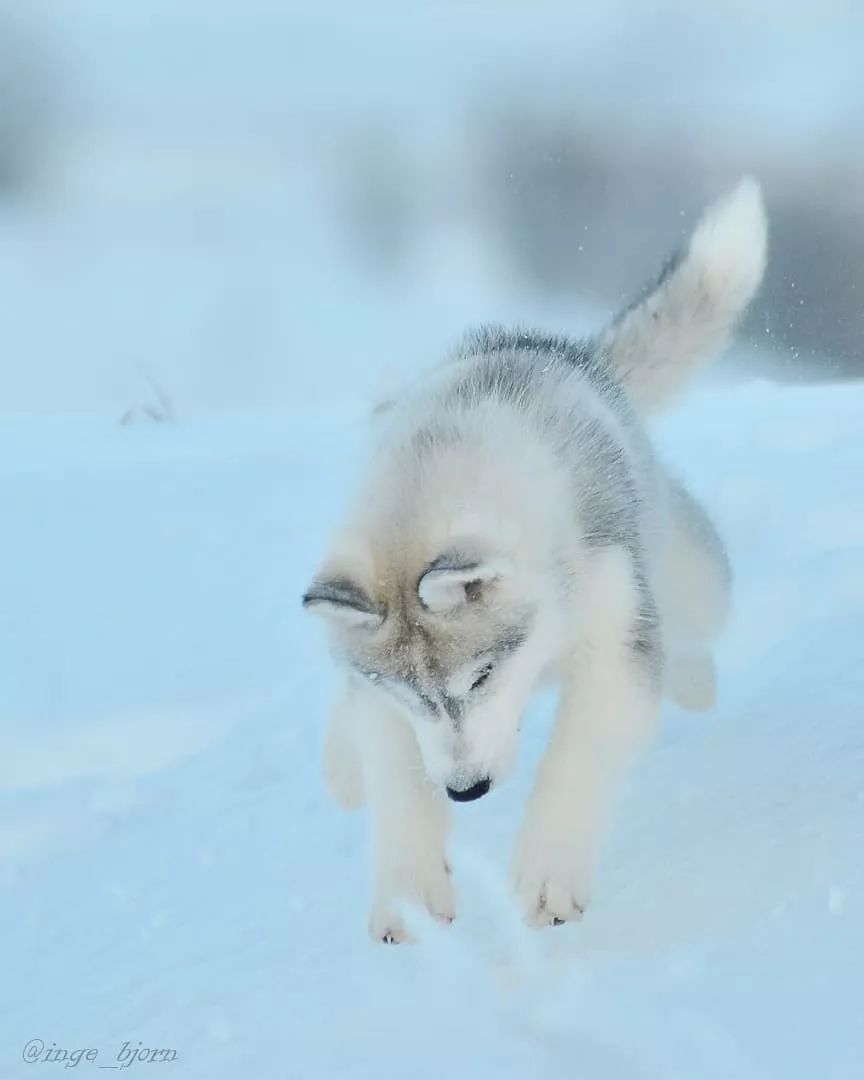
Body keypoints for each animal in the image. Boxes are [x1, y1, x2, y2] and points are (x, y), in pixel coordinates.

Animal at [300, 174, 764, 937]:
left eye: (483, 676)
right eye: (413, 694)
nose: (467, 790)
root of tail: (573, 356)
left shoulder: (614, 644)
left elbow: (576, 759)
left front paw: (548, 879)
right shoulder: (382, 699)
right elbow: (396, 775)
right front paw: (408, 891)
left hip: (691, 579)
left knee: (689, 629)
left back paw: (694, 678)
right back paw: (340, 768)